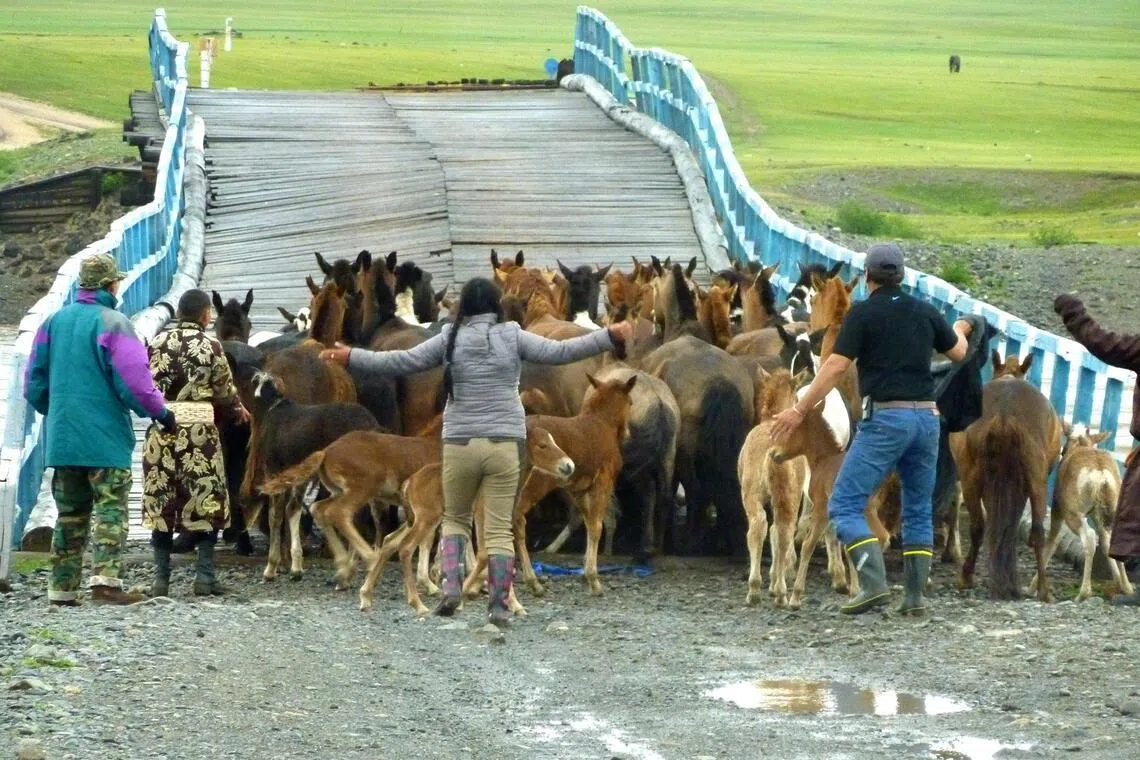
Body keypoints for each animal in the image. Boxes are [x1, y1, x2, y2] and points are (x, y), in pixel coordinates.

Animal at [956, 351, 1062, 600]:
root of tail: (1004, 415)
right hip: (1037, 481)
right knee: (1037, 531)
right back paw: (1043, 588)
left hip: (970, 480)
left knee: (978, 526)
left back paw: (968, 576)